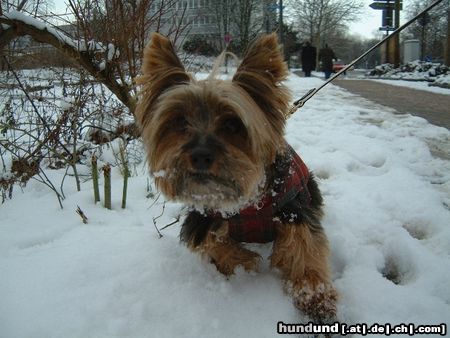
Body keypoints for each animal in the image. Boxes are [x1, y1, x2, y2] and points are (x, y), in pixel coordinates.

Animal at [135, 33, 336, 324]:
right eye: (180, 122)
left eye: (232, 124)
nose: (200, 155)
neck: (249, 202)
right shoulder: (202, 218)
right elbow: (213, 243)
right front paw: (245, 261)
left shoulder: (294, 211)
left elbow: (305, 248)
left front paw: (315, 296)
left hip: (308, 189)